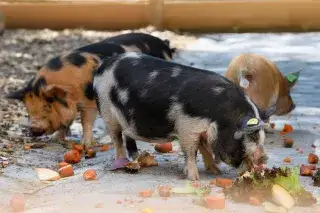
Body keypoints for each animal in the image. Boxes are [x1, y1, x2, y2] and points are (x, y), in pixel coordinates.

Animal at [6, 32, 175, 148]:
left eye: (47, 105)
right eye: (28, 109)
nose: (34, 129)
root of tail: (164, 44)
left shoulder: (89, 103)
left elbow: (85, 122)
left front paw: (85, 145)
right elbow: (67, 121)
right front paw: (54, 139)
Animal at [92, 52, 276, 181]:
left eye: (260, 137)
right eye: (250, 137)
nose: (264, 157)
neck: (218, 116)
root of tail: (103, 66)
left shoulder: (201, 130)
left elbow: (204, 148)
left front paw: (215, 171)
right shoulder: (186, 127)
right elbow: (191, 152)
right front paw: (194, 178)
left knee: (127, 136)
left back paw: (135, 158)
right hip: (106, 112)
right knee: (116, 139)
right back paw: (121, 163)